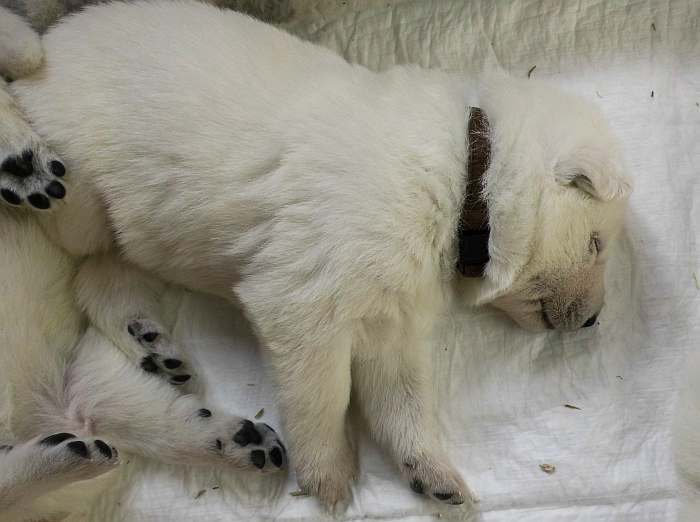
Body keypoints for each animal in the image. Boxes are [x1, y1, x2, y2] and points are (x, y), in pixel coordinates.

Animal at [0, 0, 632, 510]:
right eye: (597, 243)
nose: (596, 321)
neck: (468, 175)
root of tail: (54, 41)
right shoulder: (303, 305)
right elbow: (323, 397)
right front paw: (329, 476)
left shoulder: (391, 324)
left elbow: (403, 403)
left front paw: (432, 474)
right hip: (84, 198)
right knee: (84, 263)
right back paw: (24, 165)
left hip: (125, 243)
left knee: (99, 291)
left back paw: (150, 344)